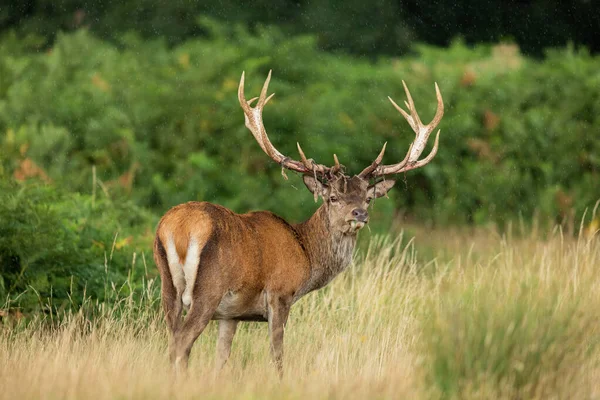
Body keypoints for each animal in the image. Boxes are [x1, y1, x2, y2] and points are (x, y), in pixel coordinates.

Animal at [152, 71, 442, 376]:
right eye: (333, 197)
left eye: (368, 198)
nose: (359, 214)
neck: (306, 254)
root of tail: (177, 229)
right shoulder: (280, 294)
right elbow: (278, 356)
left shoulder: (231, 314)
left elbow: (222, 359)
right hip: (208, 288)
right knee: (181, 344)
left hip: (168, 288)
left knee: (172, 341)